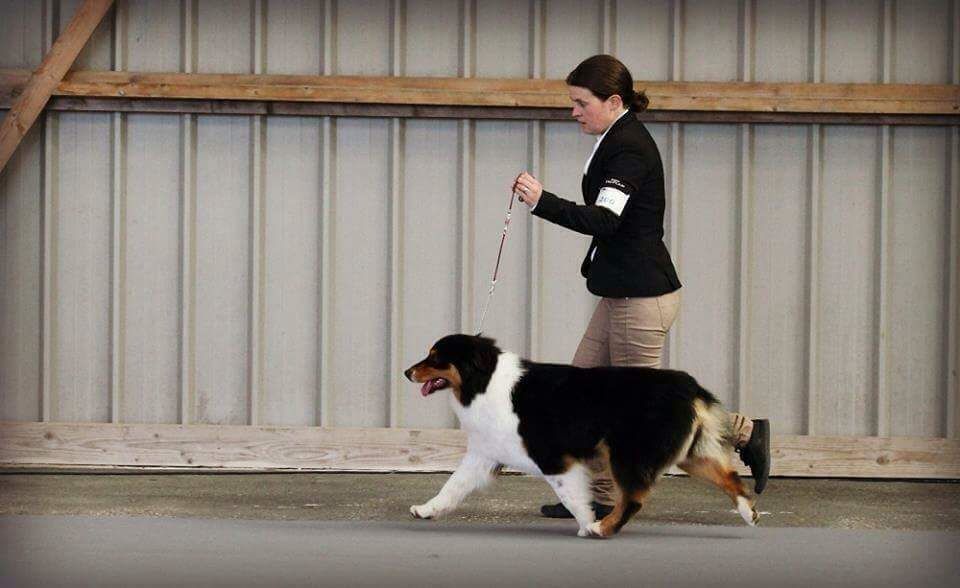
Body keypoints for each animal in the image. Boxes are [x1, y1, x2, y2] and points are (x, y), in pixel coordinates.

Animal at [404, 336, 756, 536]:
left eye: (435, 357)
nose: (406, 372)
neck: (483, 381)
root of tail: (691, 387)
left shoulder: (553, 459)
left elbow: (572, 497)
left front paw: (586, 524)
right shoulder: (484, 454)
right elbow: (452, 487)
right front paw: (425, 510)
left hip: (628, 454)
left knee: (634, 498)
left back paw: (602, 528)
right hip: (689, 454)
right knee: (730, 477)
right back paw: (749, 512)